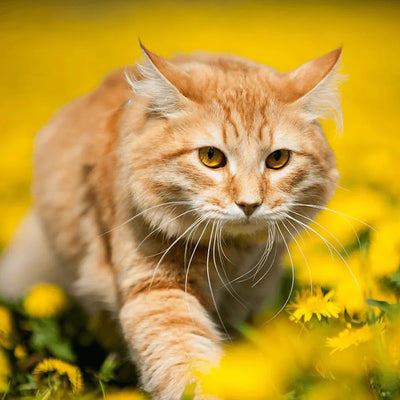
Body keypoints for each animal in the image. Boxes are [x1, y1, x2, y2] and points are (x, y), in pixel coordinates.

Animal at [1, 42, 342, 398]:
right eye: (211, 157)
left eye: (277, 159)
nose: (249, 204)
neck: (231, 256)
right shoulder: (157, 291)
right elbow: (186, 364)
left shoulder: (247, 299)